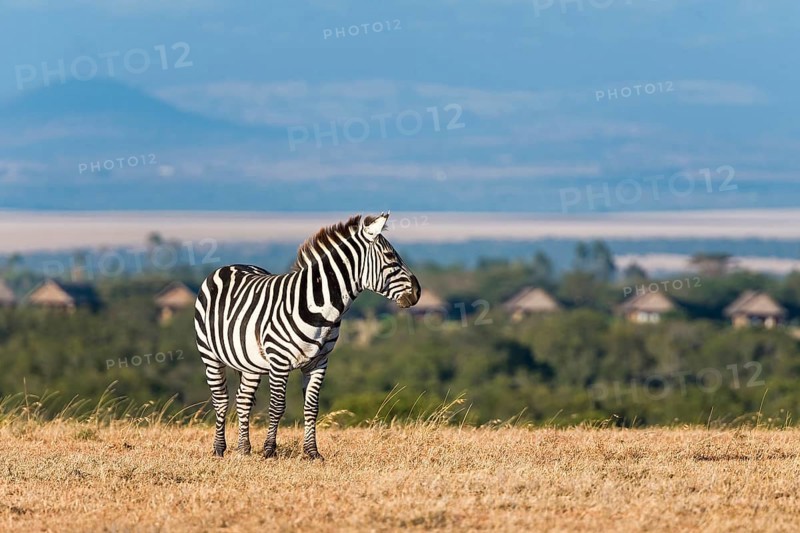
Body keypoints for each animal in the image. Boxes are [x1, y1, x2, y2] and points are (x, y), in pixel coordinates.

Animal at [194, 212, 420, 460]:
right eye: (390, 256)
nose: (418, 292)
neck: (320, 307)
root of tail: (229, 266)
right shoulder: (279, 361)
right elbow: (277, 406)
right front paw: (269, 450)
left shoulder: (319, 362)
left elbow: (312, 407)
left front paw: (312, 452)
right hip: (210, 355)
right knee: (221, 400)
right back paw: (219, 449)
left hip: (250, 362)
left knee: (243, 399)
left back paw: (244, 449)